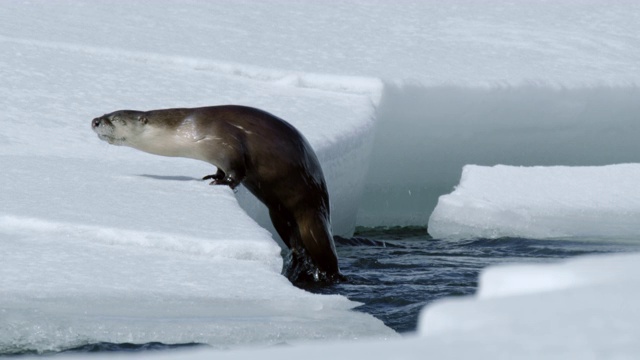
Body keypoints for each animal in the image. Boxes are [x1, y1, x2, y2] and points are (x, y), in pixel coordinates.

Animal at [90, 104, 344, 284]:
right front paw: (211, 176)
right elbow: (220, 169)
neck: (187, 131)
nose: (95, 120)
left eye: (115, 119)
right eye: (106, 113)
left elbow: (236, 171)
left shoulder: (225, 142)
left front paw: (222, 182)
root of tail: (322, 198)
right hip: (278, 214)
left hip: (309, 212)